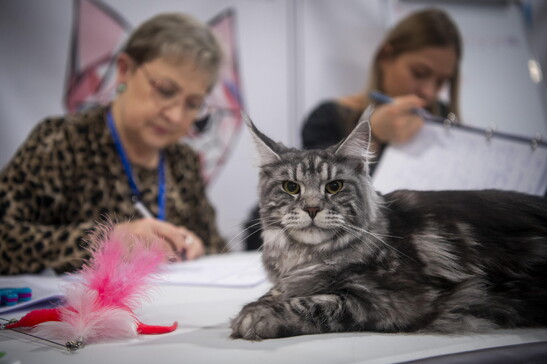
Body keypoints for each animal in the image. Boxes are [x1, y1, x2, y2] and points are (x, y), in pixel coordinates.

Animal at [231, 109, 547, 340]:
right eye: (291, 187)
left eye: (334, 187)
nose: (311, 208)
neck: (305, 257)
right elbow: (277, 291)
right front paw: (259, 304)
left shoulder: (394, 301)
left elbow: (320, 302)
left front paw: (259, 316)